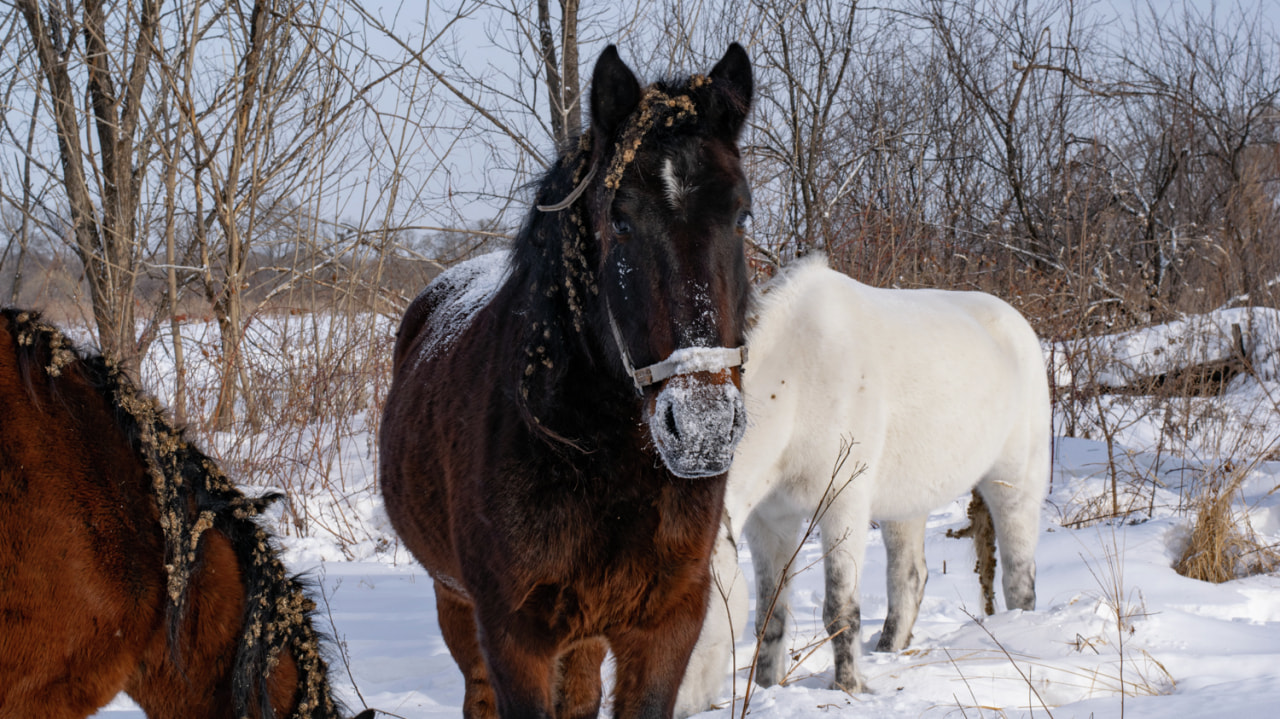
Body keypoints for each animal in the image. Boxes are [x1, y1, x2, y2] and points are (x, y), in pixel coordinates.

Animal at [384, 46, 752, 716]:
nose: (703, 428)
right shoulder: (514, 639)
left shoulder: (665, 629)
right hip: (456, 602)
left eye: (742, 215)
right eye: (621, 221)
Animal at [675, 254, 1044, 711]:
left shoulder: (842, 505)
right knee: (909, 579)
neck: (798, 381)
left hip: (1016, 485)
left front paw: (847, 687)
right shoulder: (770, 521)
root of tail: (1016, 322)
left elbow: (839, 607)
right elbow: (769, 613)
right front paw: (765, 687)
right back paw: (889, 649)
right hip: (907, 503)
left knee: (1018, 576)